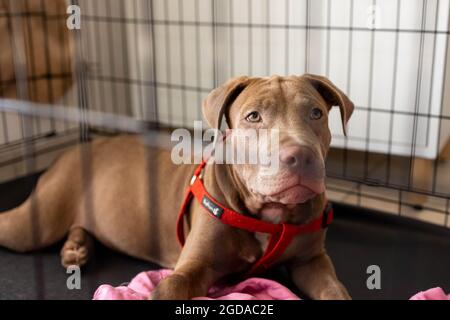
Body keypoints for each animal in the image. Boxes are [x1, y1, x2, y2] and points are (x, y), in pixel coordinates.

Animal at [0, 75, 354, 300]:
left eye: (316, 113)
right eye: (254, 116)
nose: (302, 156)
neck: (267, 216)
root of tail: (72, 149)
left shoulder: (312, 262)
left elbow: (336, 290)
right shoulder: (190, 270)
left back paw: (76, 248)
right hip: (35, 222)